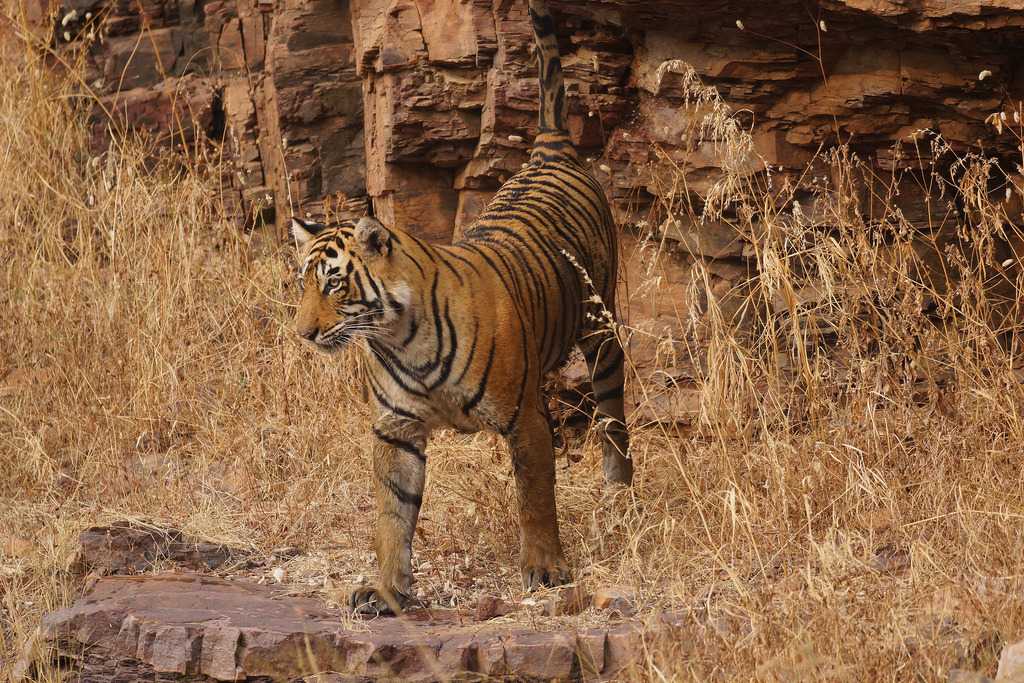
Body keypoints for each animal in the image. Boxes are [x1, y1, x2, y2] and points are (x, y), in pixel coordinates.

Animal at [290, 0, 630, 618]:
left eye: (334, 284)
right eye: (301, 285)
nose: (303, 333)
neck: (397, 336)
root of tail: (550, 148)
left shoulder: (524, 417)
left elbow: (535, 497)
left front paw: (546, 569)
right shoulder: (395, 428)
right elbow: (393, 516)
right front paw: (386, 589)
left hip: (601, 328)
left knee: (613, 416)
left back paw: (619, 491)